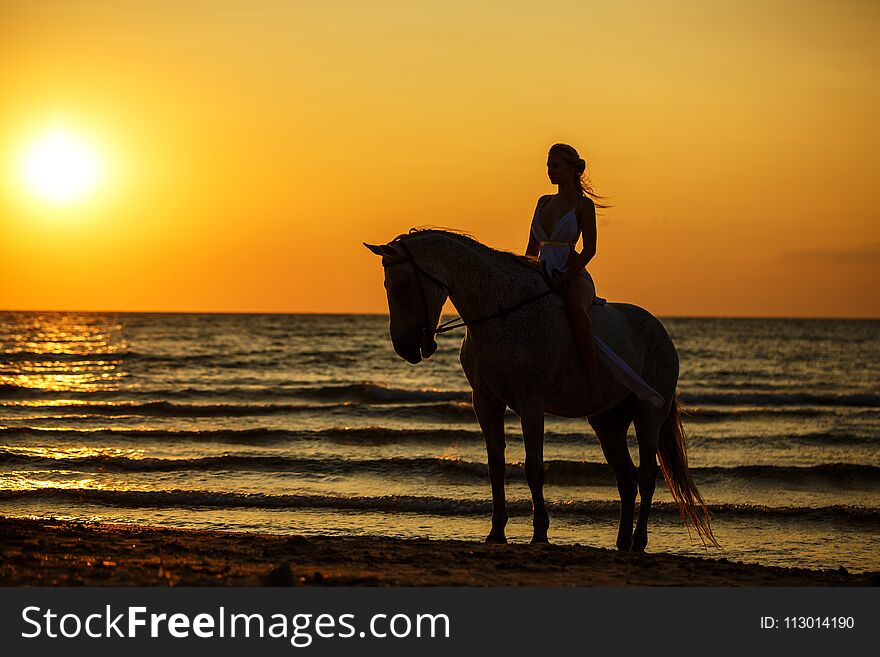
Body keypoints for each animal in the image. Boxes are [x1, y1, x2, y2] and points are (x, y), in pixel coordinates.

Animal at [364, 229, 716, 548]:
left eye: (401, 285)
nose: (405, 347)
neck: (502, 312)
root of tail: (661, 330)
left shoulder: (530, 404)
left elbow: (534, 468)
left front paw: (540, 533)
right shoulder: (486, 403)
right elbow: (496, 466)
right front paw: (496, 532)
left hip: (648, 415)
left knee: (646, 475)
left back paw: (639, 541)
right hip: (607, 421)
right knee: (626, 478)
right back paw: (622, 542)